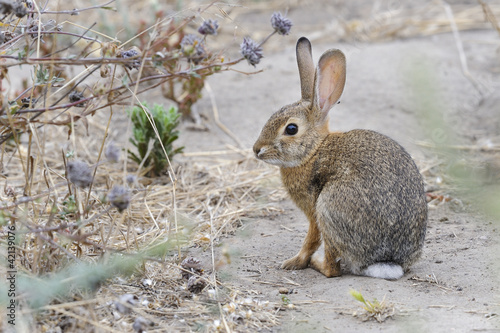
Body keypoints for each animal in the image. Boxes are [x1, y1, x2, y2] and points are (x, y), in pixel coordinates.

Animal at [254, 37, 426, 278]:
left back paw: (317, 263)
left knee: (332, 269)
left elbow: (311, 239)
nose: (256, 149)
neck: (314, 151)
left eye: (291, 129)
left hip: (328, 207)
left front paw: (293, 262)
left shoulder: (314, 212)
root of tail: (386, 261)